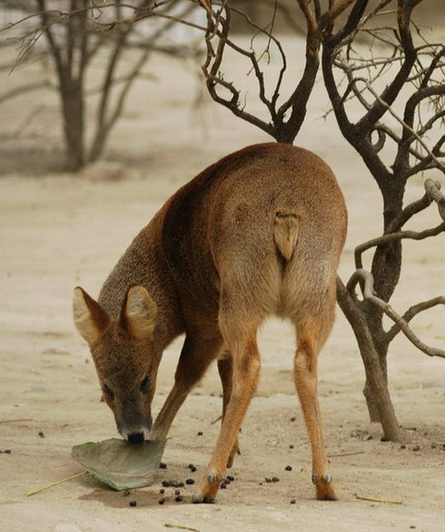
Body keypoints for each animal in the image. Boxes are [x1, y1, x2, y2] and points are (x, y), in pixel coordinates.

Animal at [73, 142, 346, 502]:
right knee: (303, 363)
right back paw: (325, 480)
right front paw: (234, 448)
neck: (166, 265)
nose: (134, 435)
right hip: (317, 296)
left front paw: (158, 438)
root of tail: (286, 213)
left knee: (250, 366)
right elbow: (223, 371)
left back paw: (208, 482)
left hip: (238, 298)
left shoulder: (203, 318)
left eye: (146, 380)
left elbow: (187, 375)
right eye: (106, 387)